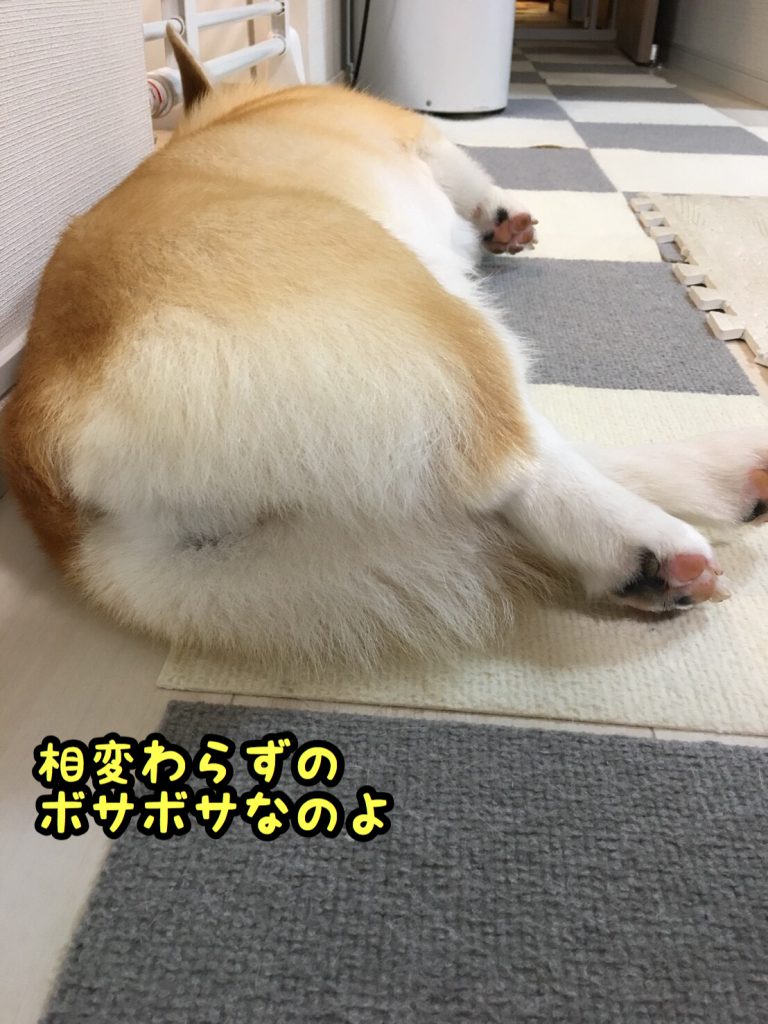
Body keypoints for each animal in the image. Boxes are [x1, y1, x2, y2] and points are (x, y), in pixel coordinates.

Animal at [3, 29, 767, 669]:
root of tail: (47, 449)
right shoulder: (421, 139)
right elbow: (472, 177)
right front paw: (503, 218)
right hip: (451, 333)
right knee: (519, 467)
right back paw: (649, 547)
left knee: (526, 457)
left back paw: (731, 478)